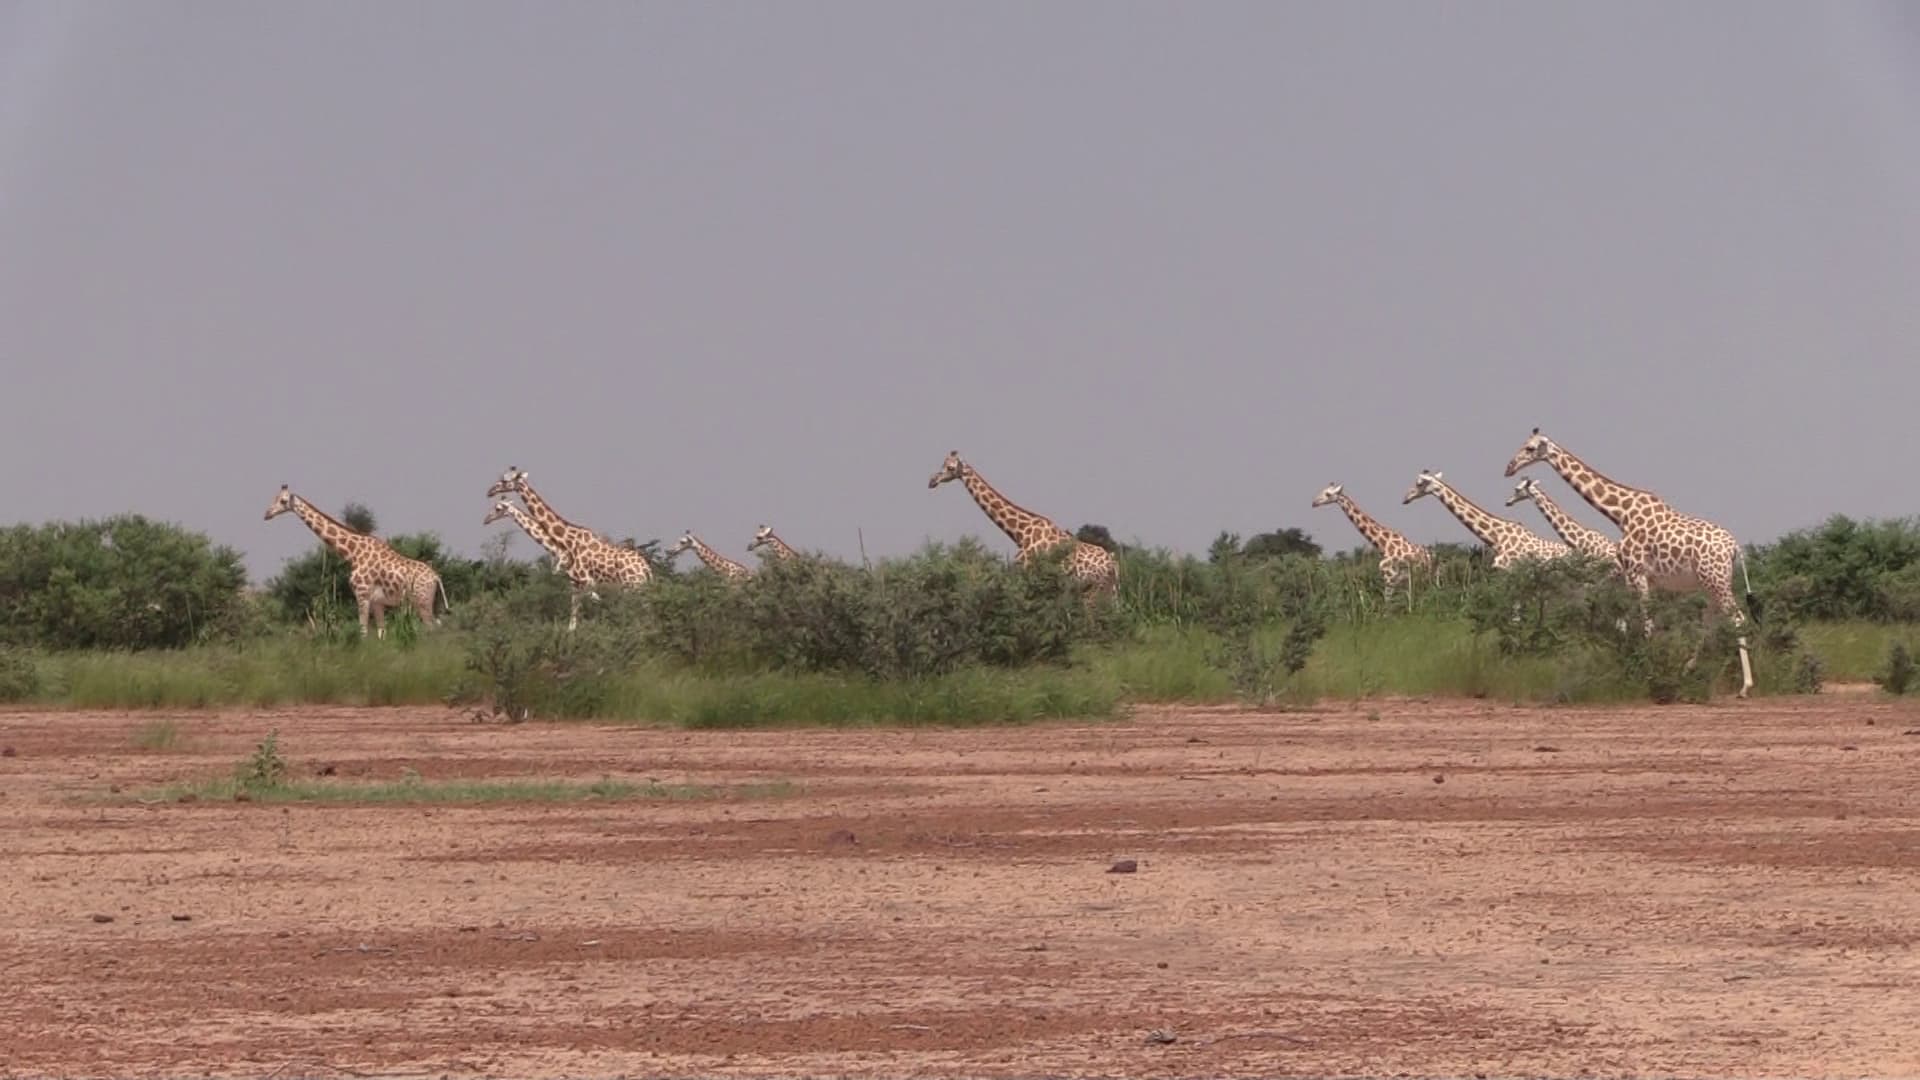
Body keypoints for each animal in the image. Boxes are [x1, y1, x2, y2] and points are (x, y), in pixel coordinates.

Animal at [264, 484, 447, 634]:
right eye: (274, 497)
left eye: (283, 501)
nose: (267, 514)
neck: (353, 553)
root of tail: (436, 577)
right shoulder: (377, 602)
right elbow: (381, 633)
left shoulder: (362, 594)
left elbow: (363, 631)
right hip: (429, 601)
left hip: (422, 602)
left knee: (432, 629)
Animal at [483, 499, 595, 630]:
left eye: (498, 508)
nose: (486, 519)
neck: (557, 549)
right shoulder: (571, 577)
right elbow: (575, 600)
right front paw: (572, 628)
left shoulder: (577, 576)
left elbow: (576, 600)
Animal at [921, 447, 1121, 595]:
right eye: (943, 464)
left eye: (950, 468)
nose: (932, 481)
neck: (1020, 532)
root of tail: (1112, 563)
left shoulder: (1023, 572)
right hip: (1111, 590)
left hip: (1094, 588)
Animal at [1497, 424, 1758, 691]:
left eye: (1530, 448)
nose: (1509, 468)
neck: (1621, 514)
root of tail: (1734, 548)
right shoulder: (1640, 579)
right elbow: (1632, 622)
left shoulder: (1635, 574)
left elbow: (1644, 623)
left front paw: (1649, 671)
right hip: (1709, 583)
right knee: (1708, 622)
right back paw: (1687, 669)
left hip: (1716, 580)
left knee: (1737, 619)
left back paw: (1745, 686)